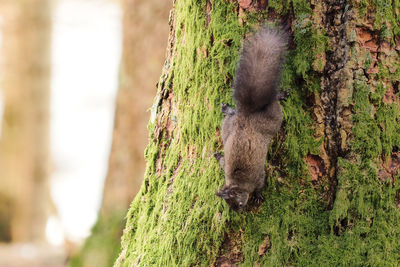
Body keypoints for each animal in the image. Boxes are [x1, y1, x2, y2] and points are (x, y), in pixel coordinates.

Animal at [214, 26, 286, 213]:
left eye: (238, 203)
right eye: (229, 205)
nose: (239, 212)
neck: (238, 183)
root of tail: (246, 114)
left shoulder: (258, 177)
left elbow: (261, 185)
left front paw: (258, 196)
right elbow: (222, 162)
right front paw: (217, 155)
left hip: (273, 119)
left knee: (273, 102)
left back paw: (280, 95)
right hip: (228, 127)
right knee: (232, 115)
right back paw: (227, 109)